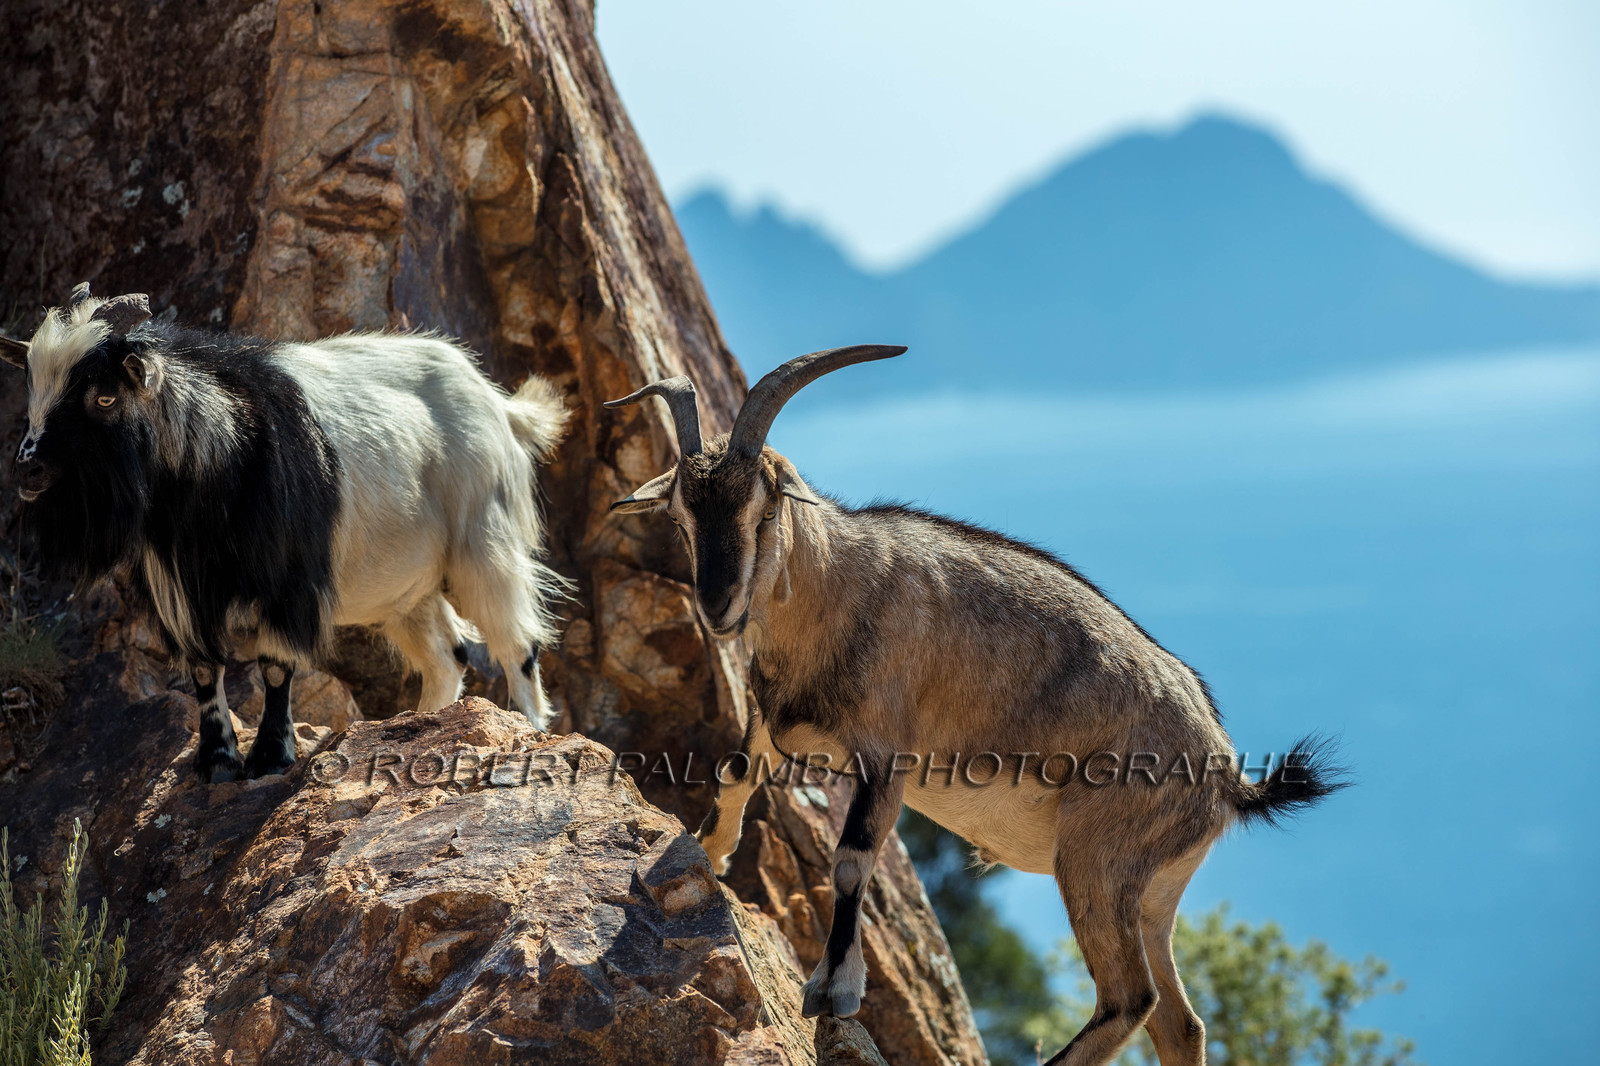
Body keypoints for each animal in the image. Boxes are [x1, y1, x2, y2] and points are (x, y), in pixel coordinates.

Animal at [0, 284, 569, 782]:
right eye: (33, 386)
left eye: (104, 398)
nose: (27, 469)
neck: (224, 447)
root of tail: (501, 404)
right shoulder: (179, 590)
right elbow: (204, 672)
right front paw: (217, 763)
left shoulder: (288, 584)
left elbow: (274, 668)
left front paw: (271, 757)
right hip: (410, 588)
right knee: (447, 657)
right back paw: (424, 725)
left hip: (485, 542)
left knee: (518, 645)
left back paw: (531, 733)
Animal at [605, 346, 1344, 1066]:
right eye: (680, 514)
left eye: (762, 508)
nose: (718, 605)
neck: (841, 591)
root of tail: (1227, 777)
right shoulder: (770, 722)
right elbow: (734, 776)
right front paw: (706, 853)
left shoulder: (887, 758)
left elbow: (850, 861)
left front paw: (834, 989)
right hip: (1152, 896)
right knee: (1180, 1024)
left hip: (1097, 861)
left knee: (1131, 999)